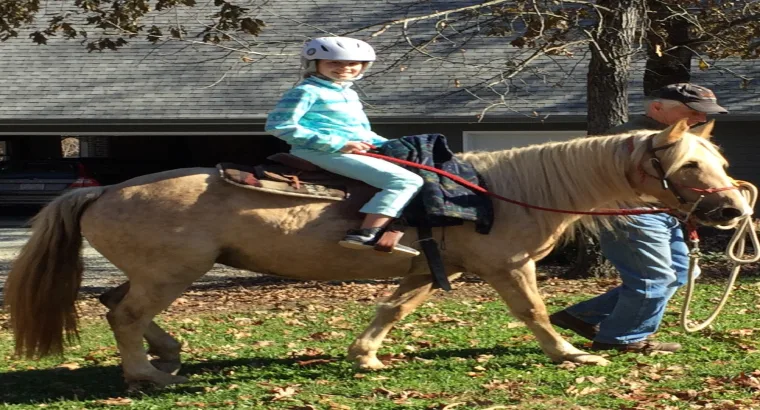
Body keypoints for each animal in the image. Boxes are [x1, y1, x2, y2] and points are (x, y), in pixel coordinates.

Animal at [4, 119, 751, 387]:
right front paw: (574, 355)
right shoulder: (508, 270)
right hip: (172, 273)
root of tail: (103, 191)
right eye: (687, 166)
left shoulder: (427, 266)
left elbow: (394, 309)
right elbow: (536, 316)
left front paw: (365, 356)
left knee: (117, 304)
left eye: (718, 161)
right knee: (123, 315)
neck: (503, 192)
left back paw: (168, 356)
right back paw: (145, 374)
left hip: (164, 274)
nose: (733, 212)